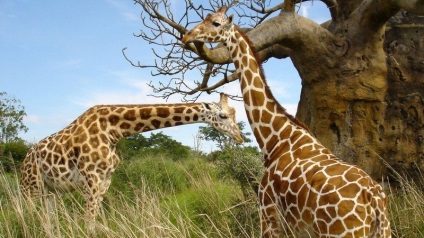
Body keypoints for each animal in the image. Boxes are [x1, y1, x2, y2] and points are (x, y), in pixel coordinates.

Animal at [19, 92, 243, 223]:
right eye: (223, 116)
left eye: (234, 114)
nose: (240, 137)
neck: (113, 131)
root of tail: (25, 159)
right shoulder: (90, 179)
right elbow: (89, 220)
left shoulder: (105, 180)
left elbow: (97, 218)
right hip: (31, 187)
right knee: (28, 215)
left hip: (51, 190)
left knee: (48, 218)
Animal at [182, 6, 390, 238]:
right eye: (205, 18)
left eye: (216, 23)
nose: (187, 36)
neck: (276, 139)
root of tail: (375, 201)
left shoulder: (268, 212)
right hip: (382, 231)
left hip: (340, 232)